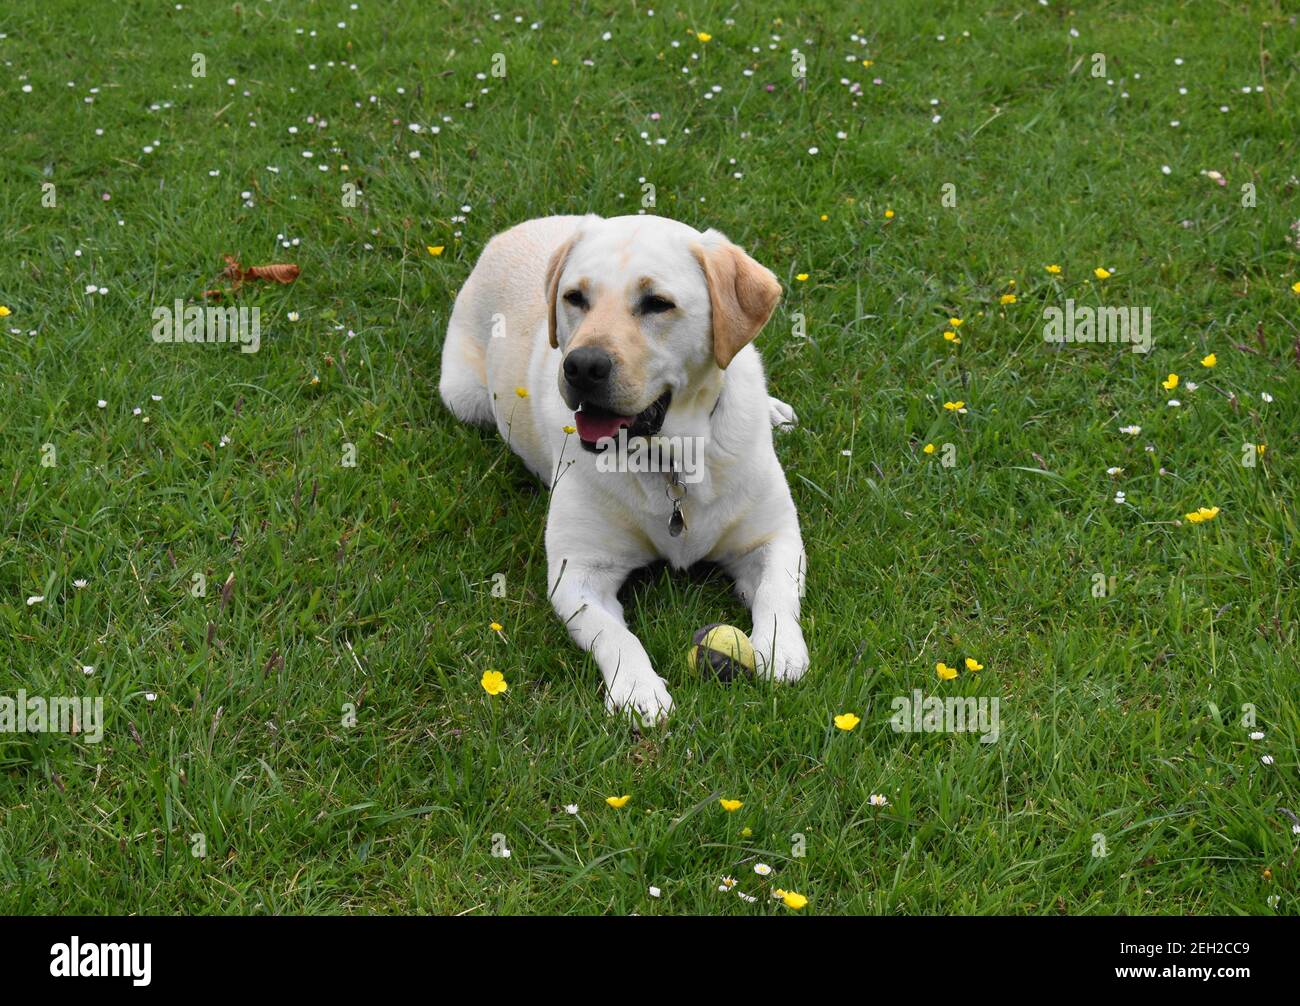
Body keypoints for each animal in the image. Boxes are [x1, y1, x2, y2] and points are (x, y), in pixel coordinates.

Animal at [439, 217, 800, 722]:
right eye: (575, 298)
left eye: (657, 303)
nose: (582, 366)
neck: (672, 461)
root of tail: (513, 230)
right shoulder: (578, 573)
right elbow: (615, 635)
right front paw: (637, 689)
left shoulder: (774, 536)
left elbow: (776, 592)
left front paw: (780, 649)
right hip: (463, 397)